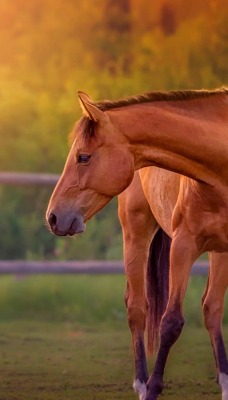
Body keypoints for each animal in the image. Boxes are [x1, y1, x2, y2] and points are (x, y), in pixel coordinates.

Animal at [46, 88, 228, 400]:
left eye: (83, 157)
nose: (54, 217)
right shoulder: (183, 245)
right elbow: (171, 322)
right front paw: (153, 388)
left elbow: (202, 312)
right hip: (136, 234)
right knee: (137, 308)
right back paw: (141, 383)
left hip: (216, 251)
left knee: (211, 309)